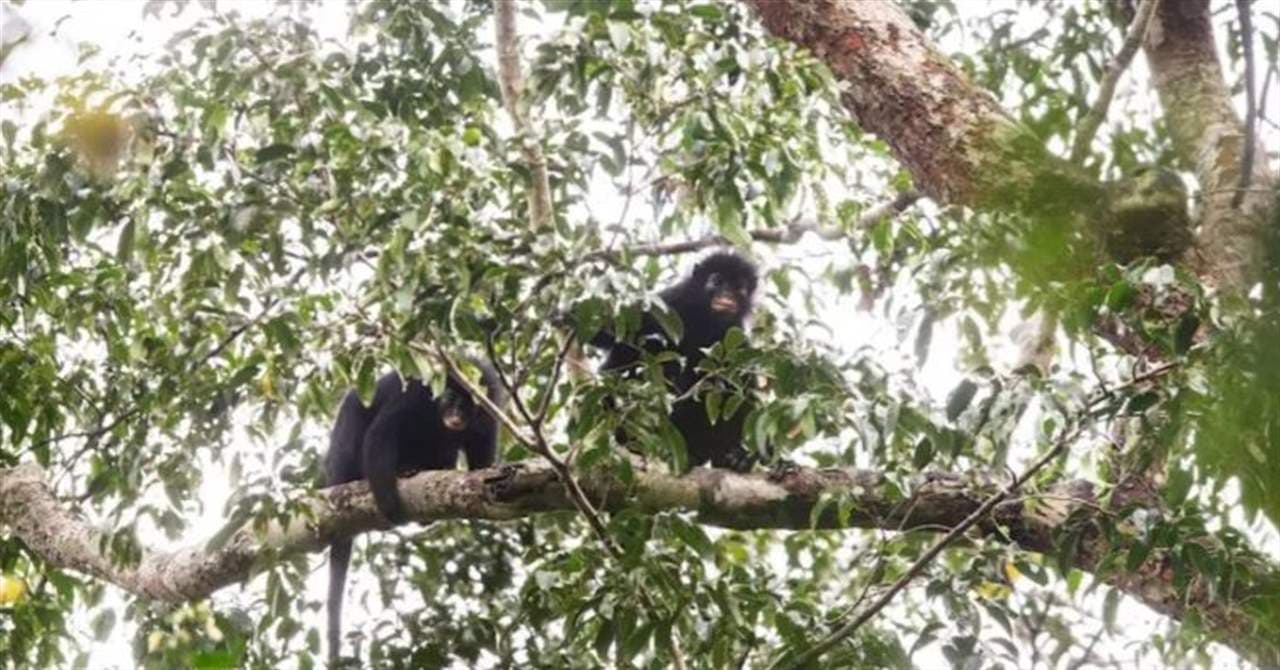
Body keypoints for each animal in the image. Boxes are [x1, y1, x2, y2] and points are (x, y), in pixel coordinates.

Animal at [324, 361, 503, 665]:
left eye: (469, 406)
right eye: (451, 399)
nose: (457, 415)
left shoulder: (489, 410)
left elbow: (482, 462)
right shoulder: (415, 394)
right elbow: (381, 433)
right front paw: (389, 506)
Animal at [587, 251, 760, 471]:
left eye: (739, 288)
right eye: (716, 281)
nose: (727, 295)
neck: (705, 319)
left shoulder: (734, 333)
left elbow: (742, 386)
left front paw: (742, 454)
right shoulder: (670, 303)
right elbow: (619, 330)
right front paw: (566, 315)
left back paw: (729, 457)